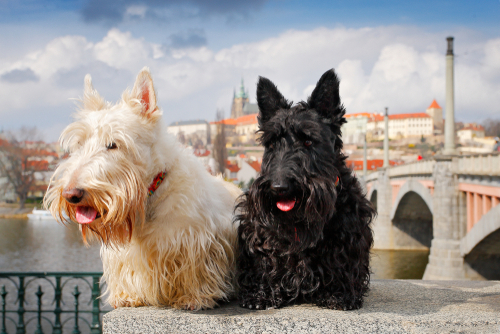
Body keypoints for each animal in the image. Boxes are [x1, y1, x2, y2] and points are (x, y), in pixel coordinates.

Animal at [46, 68, 241, 310]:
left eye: (113, 144)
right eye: (79, 144)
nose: (71, 194)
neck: (150, 197)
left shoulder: (196, 240)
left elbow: (195, 271)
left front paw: (194, 297)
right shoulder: (126, 254)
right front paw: (127, 296)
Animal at [235, 68, 376, 310]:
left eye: (308, 141)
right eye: (272, 143)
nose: (279, 187)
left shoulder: (350, 230)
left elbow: (342, 261)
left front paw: (339, 294)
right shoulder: (257, 230)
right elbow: (264, 261)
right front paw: (261, 294)